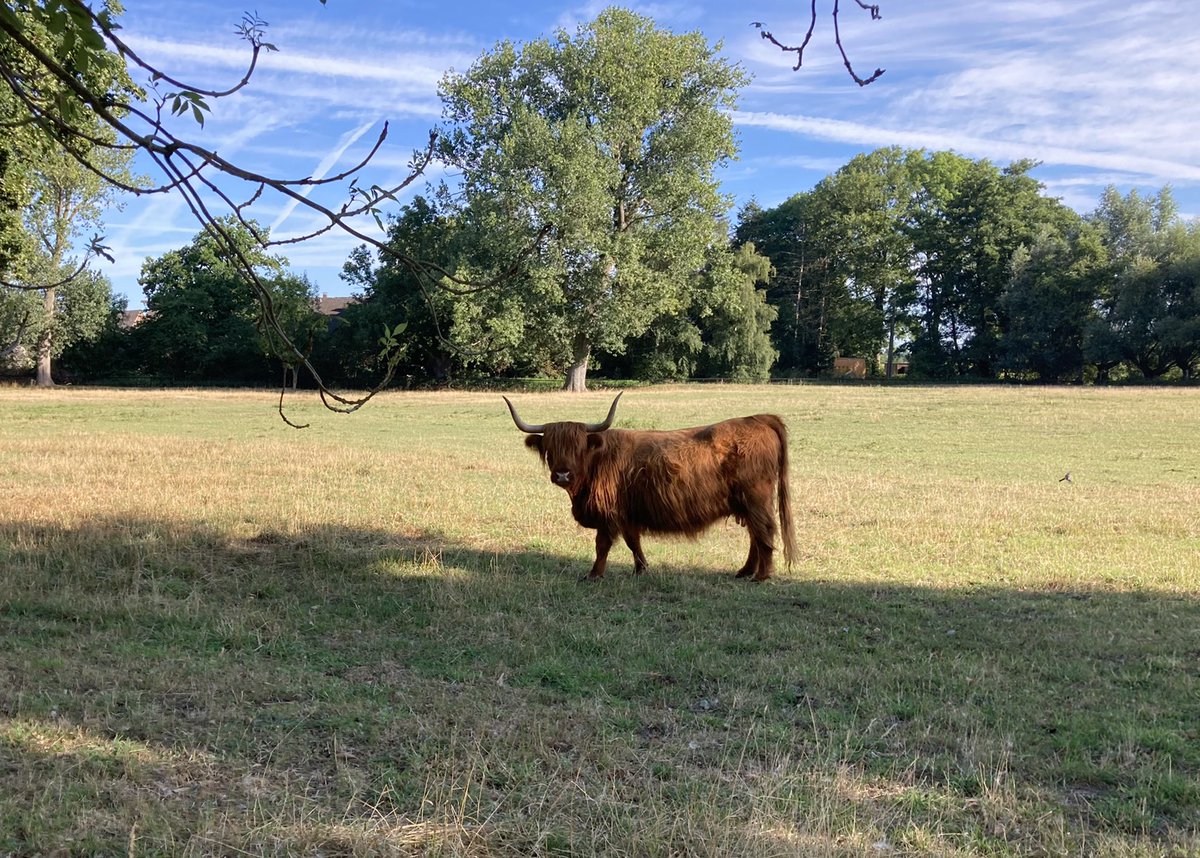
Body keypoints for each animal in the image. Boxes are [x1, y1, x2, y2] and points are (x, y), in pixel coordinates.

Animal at [504, 392, 796, 581]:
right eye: (550, 448)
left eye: (577, 448)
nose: (563, 475)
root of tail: (758, 418)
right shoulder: (627, 513)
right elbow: (633, 541)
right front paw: (641, 568)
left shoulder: (609, 515)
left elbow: (602, 545)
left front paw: (594, 574)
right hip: (745, 503)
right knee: (756, 536)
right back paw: (745, 571)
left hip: (756, 498)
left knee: (764, 532)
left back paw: (761, 576)